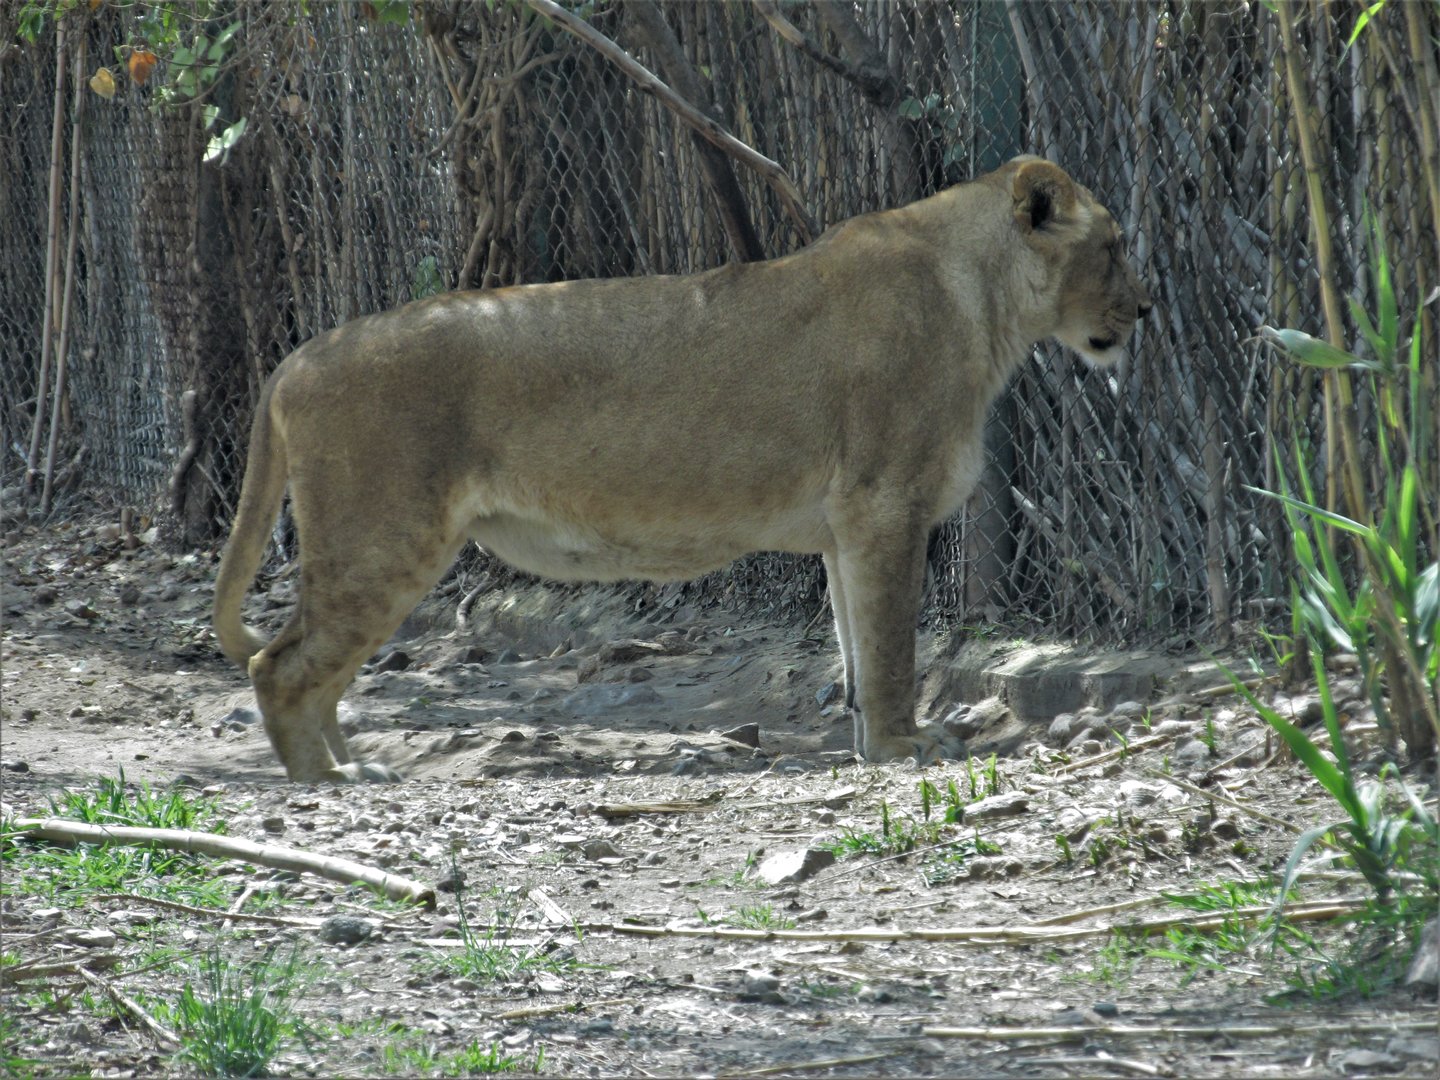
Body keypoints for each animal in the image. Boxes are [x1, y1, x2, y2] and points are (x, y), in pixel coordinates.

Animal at [212, 156, 1151, 783]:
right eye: (1113, 246)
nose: (1144, 309)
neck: (984, 304)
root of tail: (298, 358)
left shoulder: (845, 530)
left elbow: (856, 648)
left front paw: (865, 747)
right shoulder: (885, 504)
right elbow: (890, 646)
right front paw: (901, 749)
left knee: (313, 669)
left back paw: (352, 763)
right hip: (382, 538)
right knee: (280, 668)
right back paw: (327, 782)